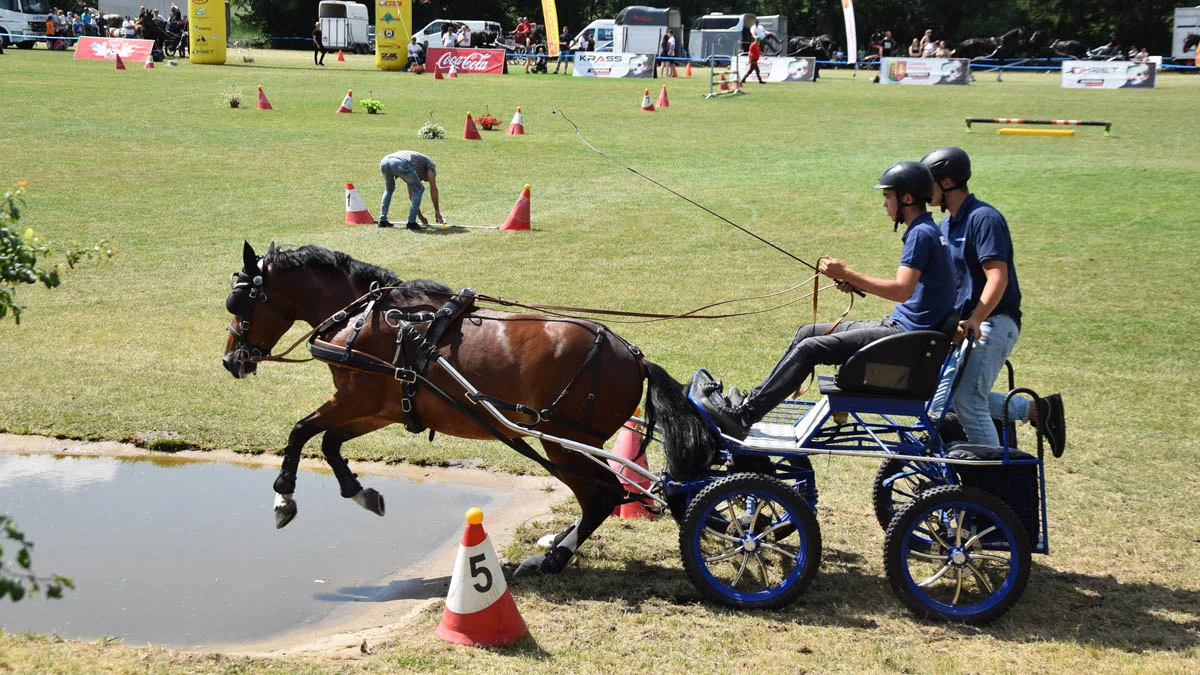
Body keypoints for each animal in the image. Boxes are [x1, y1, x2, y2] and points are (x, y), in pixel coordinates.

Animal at [223, 243, 720, 576]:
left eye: (240, 300)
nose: (231, 359)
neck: (369, 318)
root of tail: (632, 356)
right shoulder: (378, 408)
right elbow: (328, 442)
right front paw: (361, 492)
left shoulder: (354, 399)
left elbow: (300, 430)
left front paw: (283, 497)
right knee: (600, 495)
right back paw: (553, 548)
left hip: (564, 441)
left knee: (603, 494)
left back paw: (553, 557)